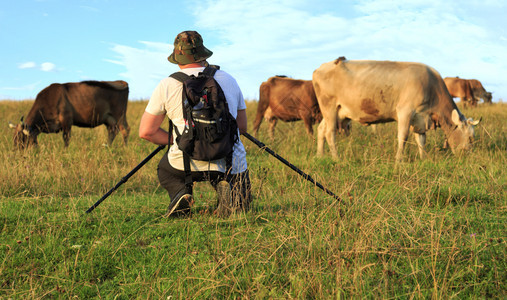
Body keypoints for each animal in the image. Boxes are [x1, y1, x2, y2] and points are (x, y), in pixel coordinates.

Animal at [312, 59, 482, 162]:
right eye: (470, 138)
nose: (468, 156)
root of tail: (321, 67)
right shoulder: (405, 111)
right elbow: (403, 137)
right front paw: (399, 161)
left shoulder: (420, 118)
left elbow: (421, 140)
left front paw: (423, 158)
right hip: (329, 107)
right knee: (330, 133)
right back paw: (336, 158)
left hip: (337, 112)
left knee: (321, 130)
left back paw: (320, 156)